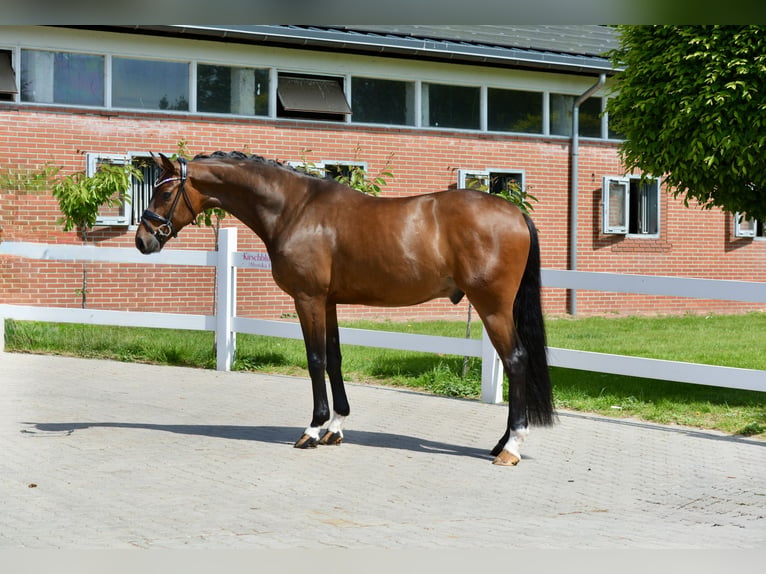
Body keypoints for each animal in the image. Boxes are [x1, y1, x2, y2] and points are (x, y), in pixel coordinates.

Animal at [135, 151, 555, 466]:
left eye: (164, 192)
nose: (142, 240)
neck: (295, 209)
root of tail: (516, 213)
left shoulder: (308, 298)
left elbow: (316, 359)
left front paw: (312, 429)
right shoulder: (330, 301)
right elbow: (334, 358)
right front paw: (335, 427)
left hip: (493, 307)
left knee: (516, 360)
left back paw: (511, 447)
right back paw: (500, 443)